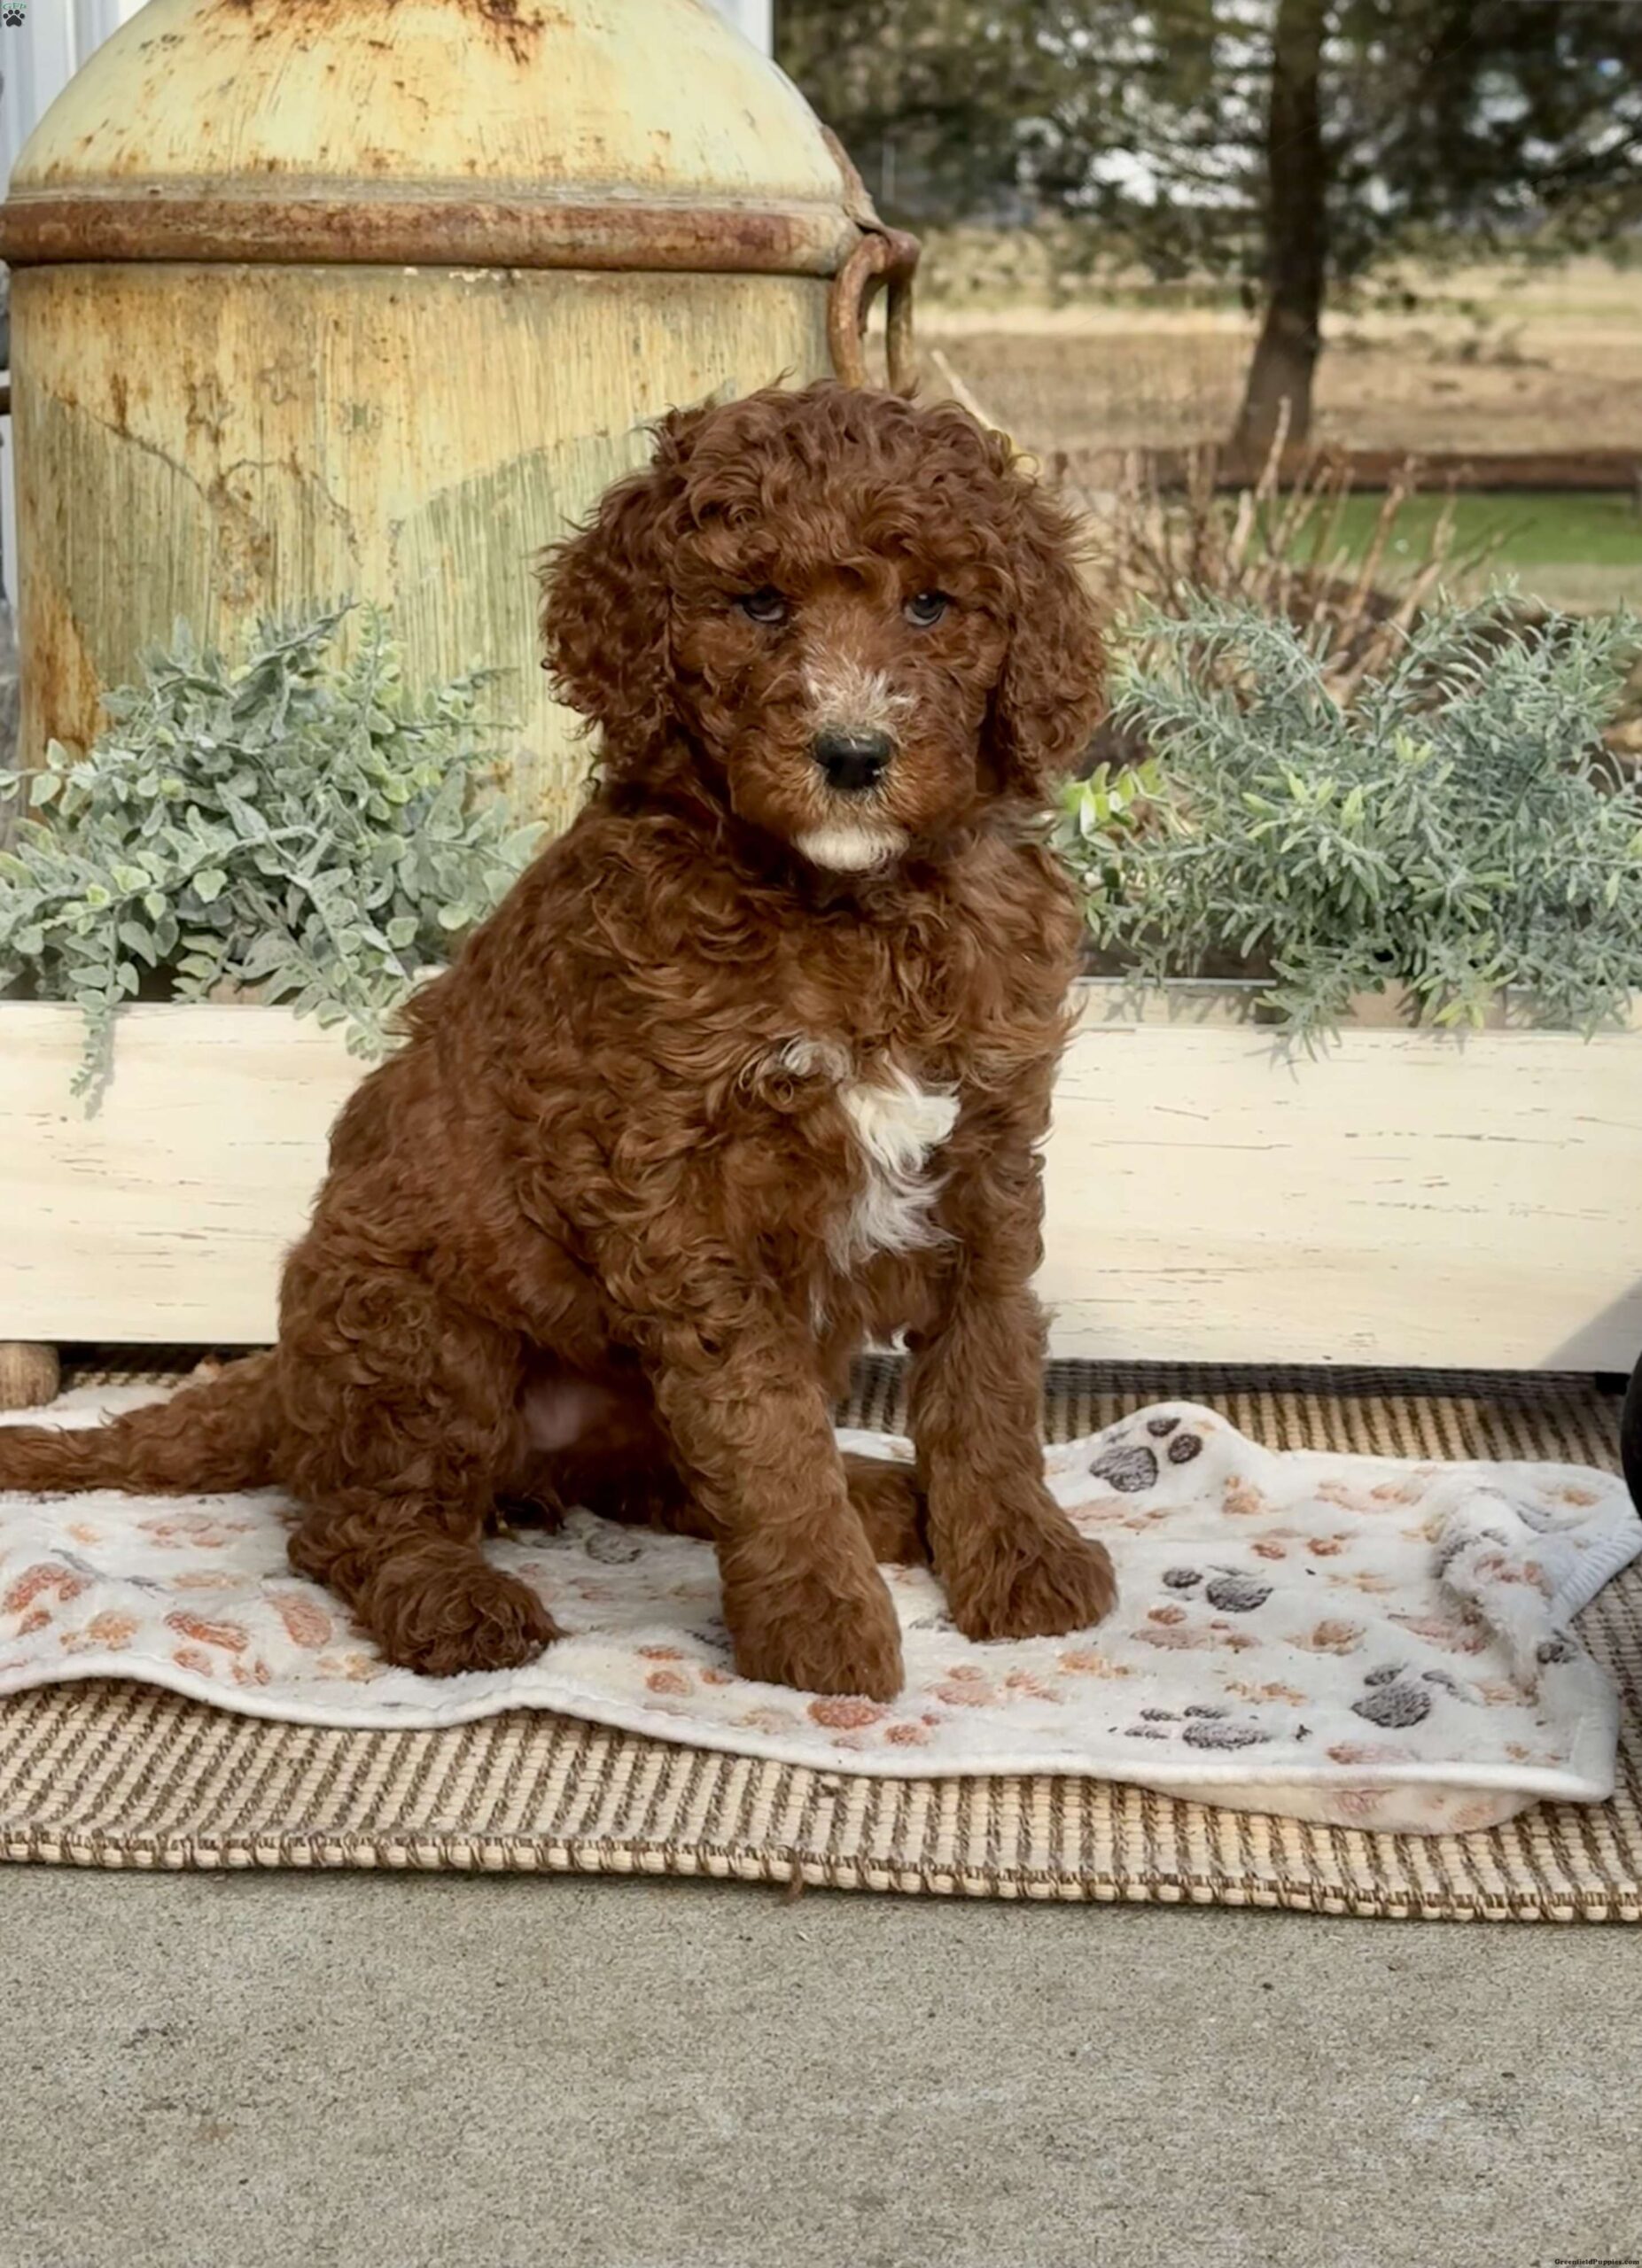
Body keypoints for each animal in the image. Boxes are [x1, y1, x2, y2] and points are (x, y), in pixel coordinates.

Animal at [0, 382, 1117, 1700]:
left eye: (932, 606)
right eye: (759, 603)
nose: (852, 755)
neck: (850, 906)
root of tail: (283, 1380)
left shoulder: (989, 1145)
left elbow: (988, 1371)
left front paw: (1020, 1557)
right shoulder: (678, 1191)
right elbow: (762, 1425)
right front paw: (820, 1620)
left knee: (652, 1475)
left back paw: (880, 1497)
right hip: (423, 1336)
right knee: (354, 1521)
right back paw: (458, 1600)